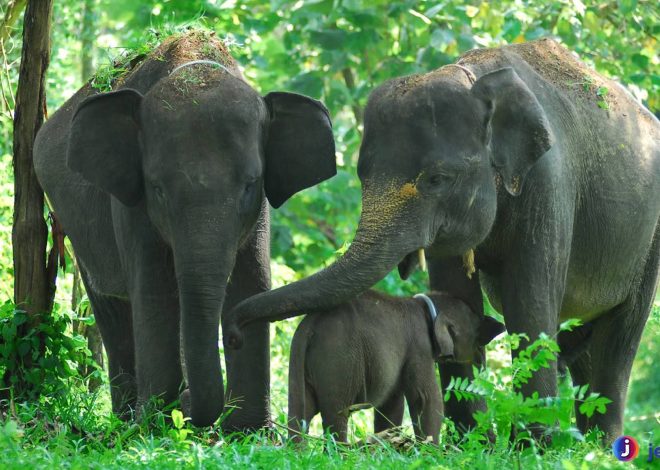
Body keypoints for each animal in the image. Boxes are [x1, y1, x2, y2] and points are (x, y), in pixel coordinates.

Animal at [31, 30, 336, 430]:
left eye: (250, 185)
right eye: (157, 188)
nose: (233, 338)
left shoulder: (259, 210)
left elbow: (251, 280)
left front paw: (247, 431)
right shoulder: (131, 205)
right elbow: (154, 289)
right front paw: (156, 423)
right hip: (75, 228)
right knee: (112, 310)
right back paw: (128, 419)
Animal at [288, 290, 506, 444]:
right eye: (476, 329)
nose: (500, 325)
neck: (424, 303)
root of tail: (309, 325)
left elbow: (391, 405)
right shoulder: (419, 346)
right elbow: (426, 399)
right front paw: (432, 452)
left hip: (304, 365)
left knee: (301, 412)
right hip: (337, 361)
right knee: (336, 415)